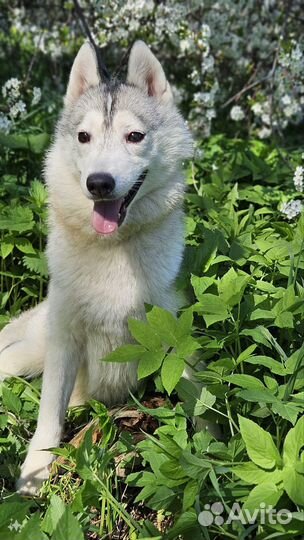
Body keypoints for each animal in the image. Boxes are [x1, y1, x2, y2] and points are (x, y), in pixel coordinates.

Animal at [0, 39, 191, 494]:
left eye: (134, 136)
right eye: (83, 137)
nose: (99, 183)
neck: (114, 250)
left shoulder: (170, 329)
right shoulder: (65, 342)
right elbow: (48, 415)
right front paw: (35, 470)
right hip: (31, 352)